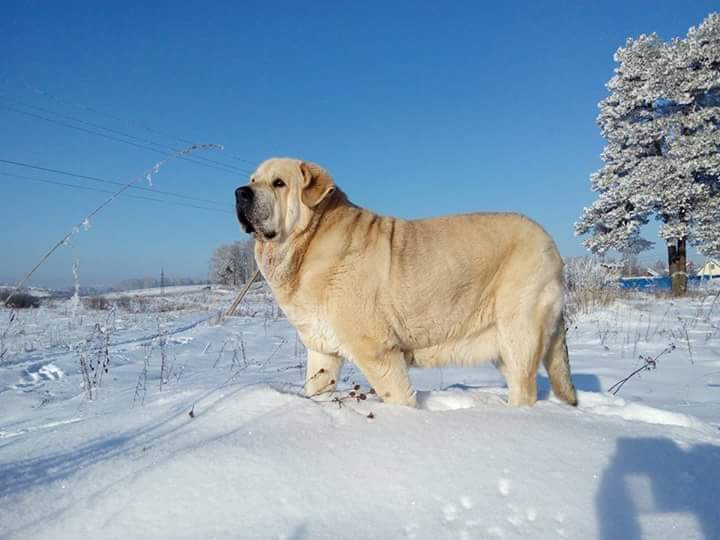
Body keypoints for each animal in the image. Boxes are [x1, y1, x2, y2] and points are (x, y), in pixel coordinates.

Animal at [236, 158, 580, 408]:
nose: (240, 192)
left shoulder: (377, 351)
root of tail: (550, 242)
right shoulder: (323, 352)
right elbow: (317, 386)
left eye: (278, 183)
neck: (309, 243)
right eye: (252, 180)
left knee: (524, 388)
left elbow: (396, 396)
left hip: (519, 332)